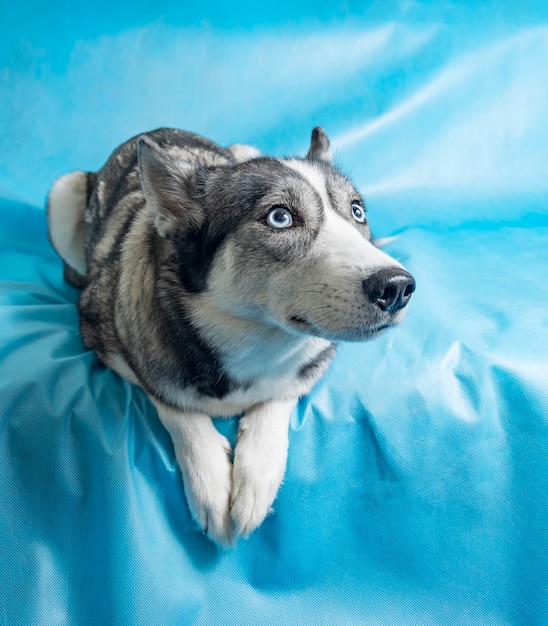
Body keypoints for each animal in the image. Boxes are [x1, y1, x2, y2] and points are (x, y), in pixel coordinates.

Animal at [48, 125, 416, 540]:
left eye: (357, 211)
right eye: (279, 217)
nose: (397, 286)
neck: (255, 339)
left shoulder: (316, 359)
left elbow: (281, 393)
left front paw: (256, 477)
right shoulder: (105, 332)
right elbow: (168, 398)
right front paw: (208, 481)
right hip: (63, 193)